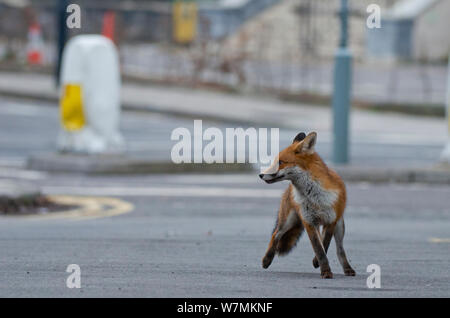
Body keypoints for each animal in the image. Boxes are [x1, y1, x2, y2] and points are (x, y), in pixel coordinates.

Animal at [260, 132, 356, 278]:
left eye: (280, 162)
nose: (260, 174)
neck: (314, 196)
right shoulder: (308, 221)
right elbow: (319, 249)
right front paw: (325, 270)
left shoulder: (331, 221)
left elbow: (324, 245)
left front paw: (319, 265)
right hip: (288, 220)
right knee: (276, 234)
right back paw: (267, 260)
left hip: (339, 226)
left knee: (340, 249)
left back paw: (347, 268)